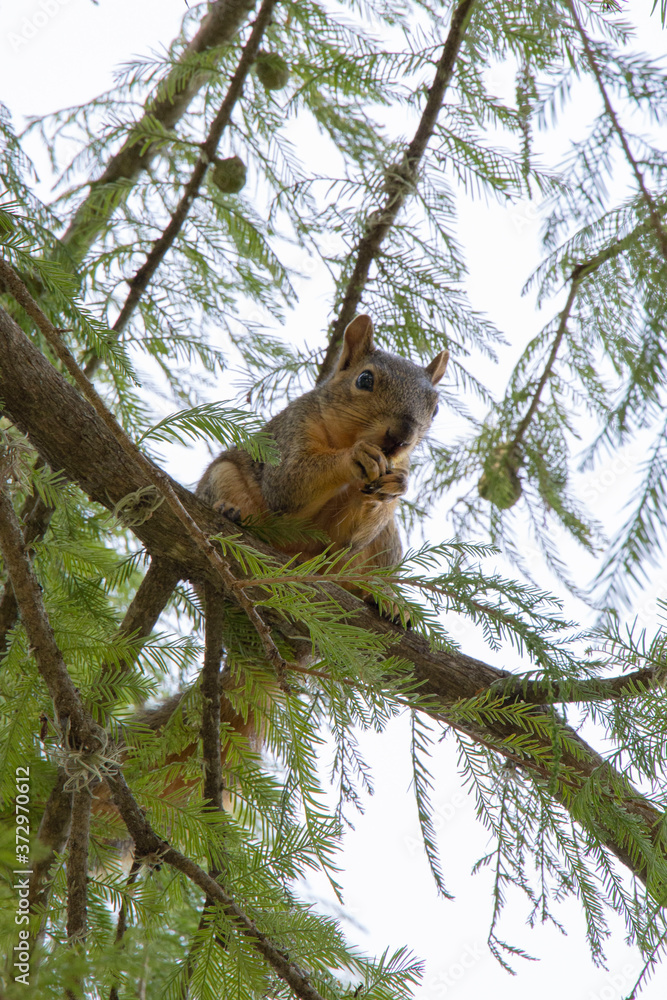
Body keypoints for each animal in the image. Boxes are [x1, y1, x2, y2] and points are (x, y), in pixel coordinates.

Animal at [197, 314, 449, 579]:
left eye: (435, 408)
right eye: (365, 379)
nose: (402, 436)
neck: (344, 440)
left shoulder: (400, 463)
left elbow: (346, 539)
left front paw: (395, 484)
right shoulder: (294, 427)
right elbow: (286, 483)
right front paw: (354, 457)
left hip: (384, 542)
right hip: (221, 475)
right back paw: (228, 510)